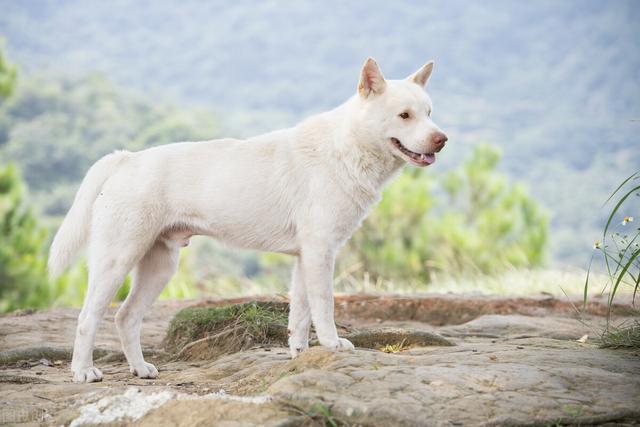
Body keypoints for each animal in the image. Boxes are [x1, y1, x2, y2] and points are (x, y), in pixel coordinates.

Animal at [47, 57, 448, 384]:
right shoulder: (320, 252)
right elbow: (325, 305)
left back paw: (140, 369)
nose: (442, 139)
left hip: (159, 266)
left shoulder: (305, 257)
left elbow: (300, 313)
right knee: (88, 318)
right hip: (117, 260)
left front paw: (300, 353)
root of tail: (125, 158)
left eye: (429, 112)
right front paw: (332, 344)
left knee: (125, 317)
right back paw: (83, 372)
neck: (346, 146)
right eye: (405, 115)